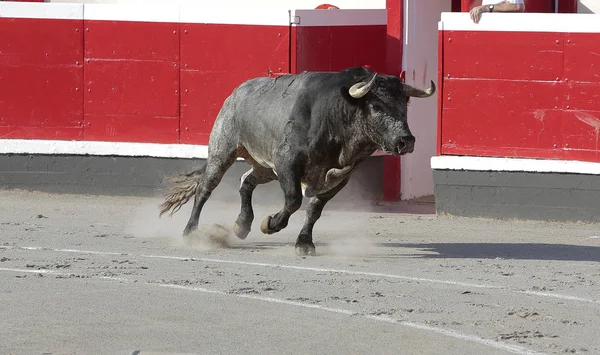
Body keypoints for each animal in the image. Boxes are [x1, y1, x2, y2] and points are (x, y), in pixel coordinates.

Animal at [161, 66, 436, 256]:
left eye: (404, 106)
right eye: (377, 107)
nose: (406, 141)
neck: (336, 117)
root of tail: (235, 94)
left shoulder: (339, 178)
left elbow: (314, 209)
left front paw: (304, 243)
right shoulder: (287, 162)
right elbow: (294, 200)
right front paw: (271, 224)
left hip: (266, 168)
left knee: (246, 181)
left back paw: (242, 224)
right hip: (223, 151)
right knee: (206, 188)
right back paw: (191, 232)